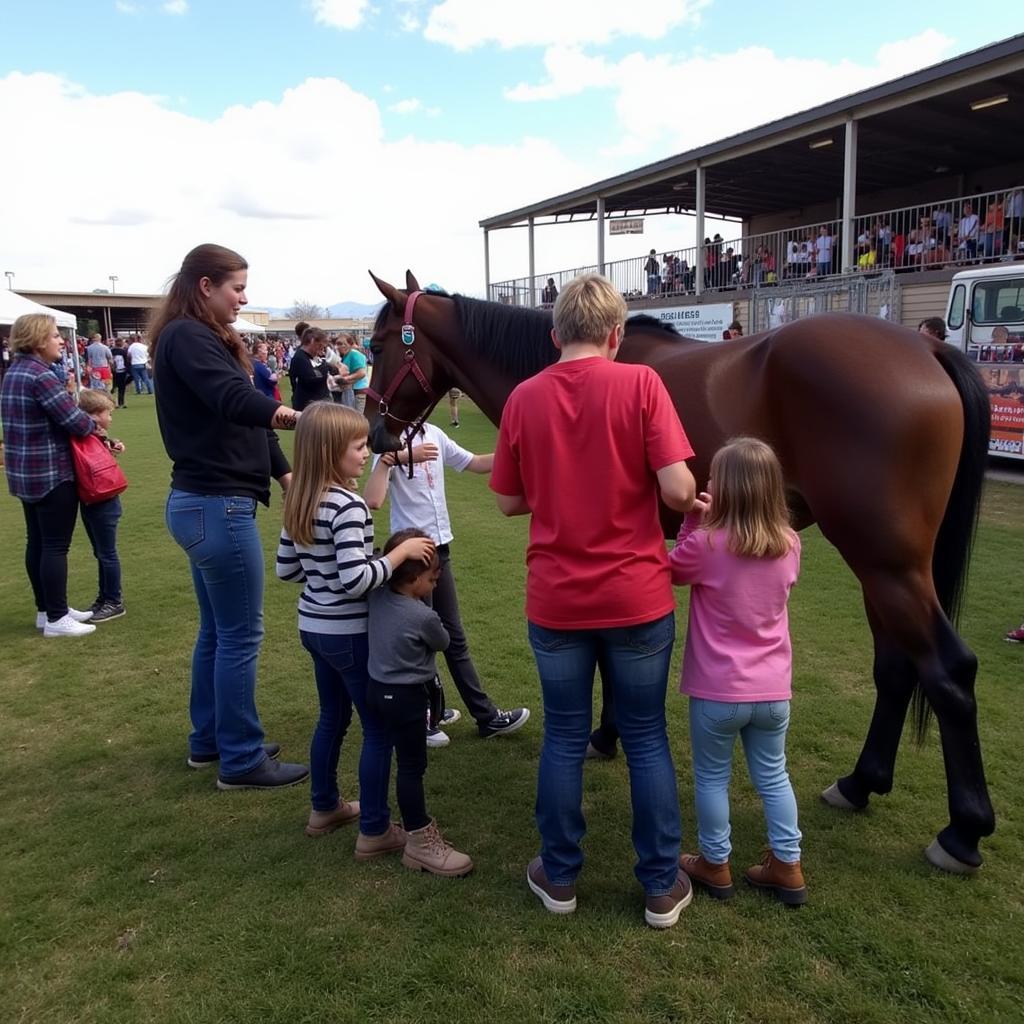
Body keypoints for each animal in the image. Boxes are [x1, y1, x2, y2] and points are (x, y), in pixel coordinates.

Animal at [366, 268, 991, 868]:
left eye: (375, 344)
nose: (375, 433)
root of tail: (925, 347)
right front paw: (610, 733)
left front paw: (604, 734)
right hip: (882, 568)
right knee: (897, 669)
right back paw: (861, 782)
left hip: (887, 563)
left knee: (949, 671)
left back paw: (963, 831)